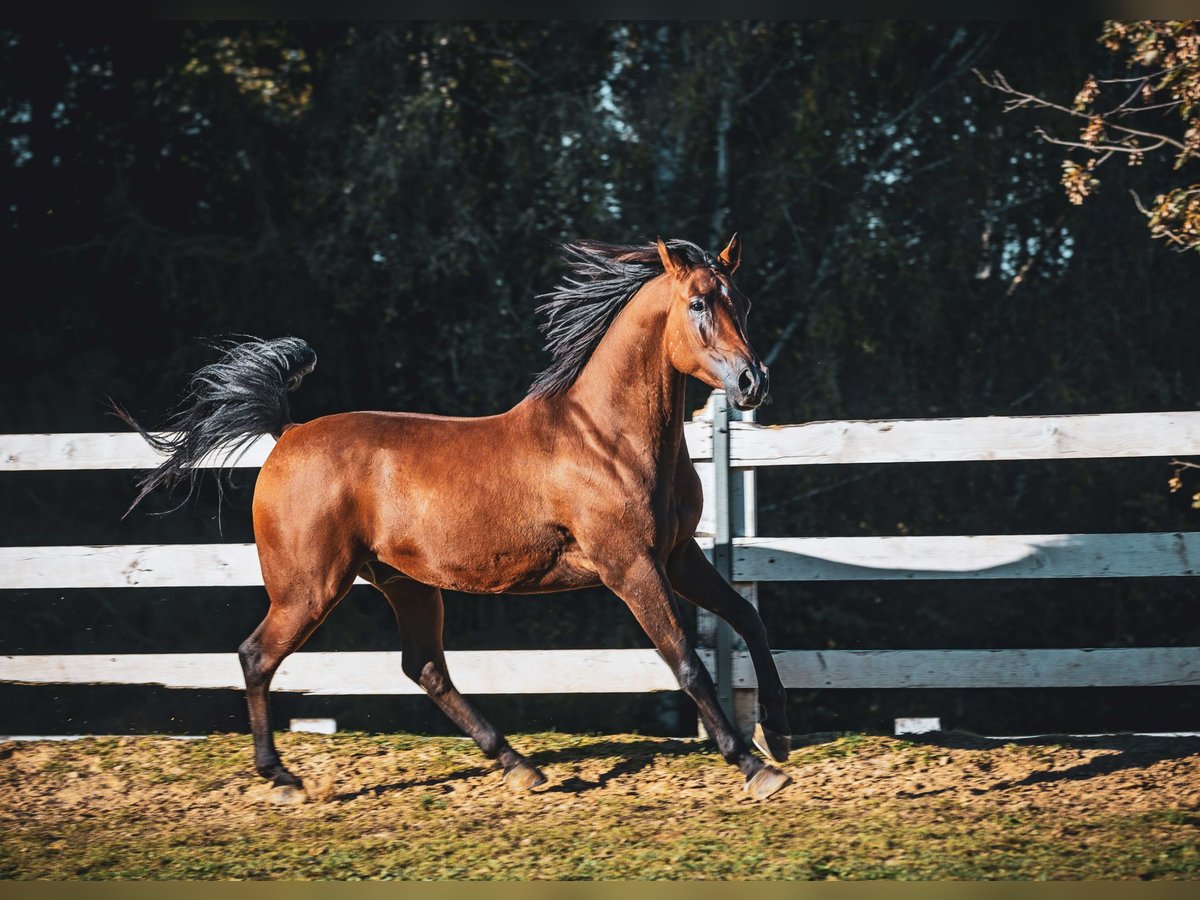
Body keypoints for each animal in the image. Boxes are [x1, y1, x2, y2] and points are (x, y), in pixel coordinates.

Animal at [117, 236, 796, 801]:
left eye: (743, 301)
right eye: (699, 302)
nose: (753, 381)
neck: (607, 438)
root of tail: (285, 432)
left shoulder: (679, 556)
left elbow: (750, 619)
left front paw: (779, 734)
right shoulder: (631, 566)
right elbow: (687, 661)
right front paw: (753, 765)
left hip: (406, 585)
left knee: (424, 667)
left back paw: (521, 766)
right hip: (308, 589)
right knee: (257, 656)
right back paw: (282, 778)